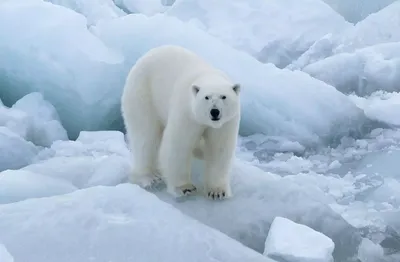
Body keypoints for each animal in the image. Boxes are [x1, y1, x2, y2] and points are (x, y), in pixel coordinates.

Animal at [121, 45, 241, 201]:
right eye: (206, 97)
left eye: (224, 96)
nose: (214, 112)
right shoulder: (186, 114)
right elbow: (178, 146)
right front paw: (184, 188)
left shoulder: (226, 123)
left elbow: (219, 149)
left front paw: (217, 191)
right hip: (142, 95)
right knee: (145, 136)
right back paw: (148, 177)